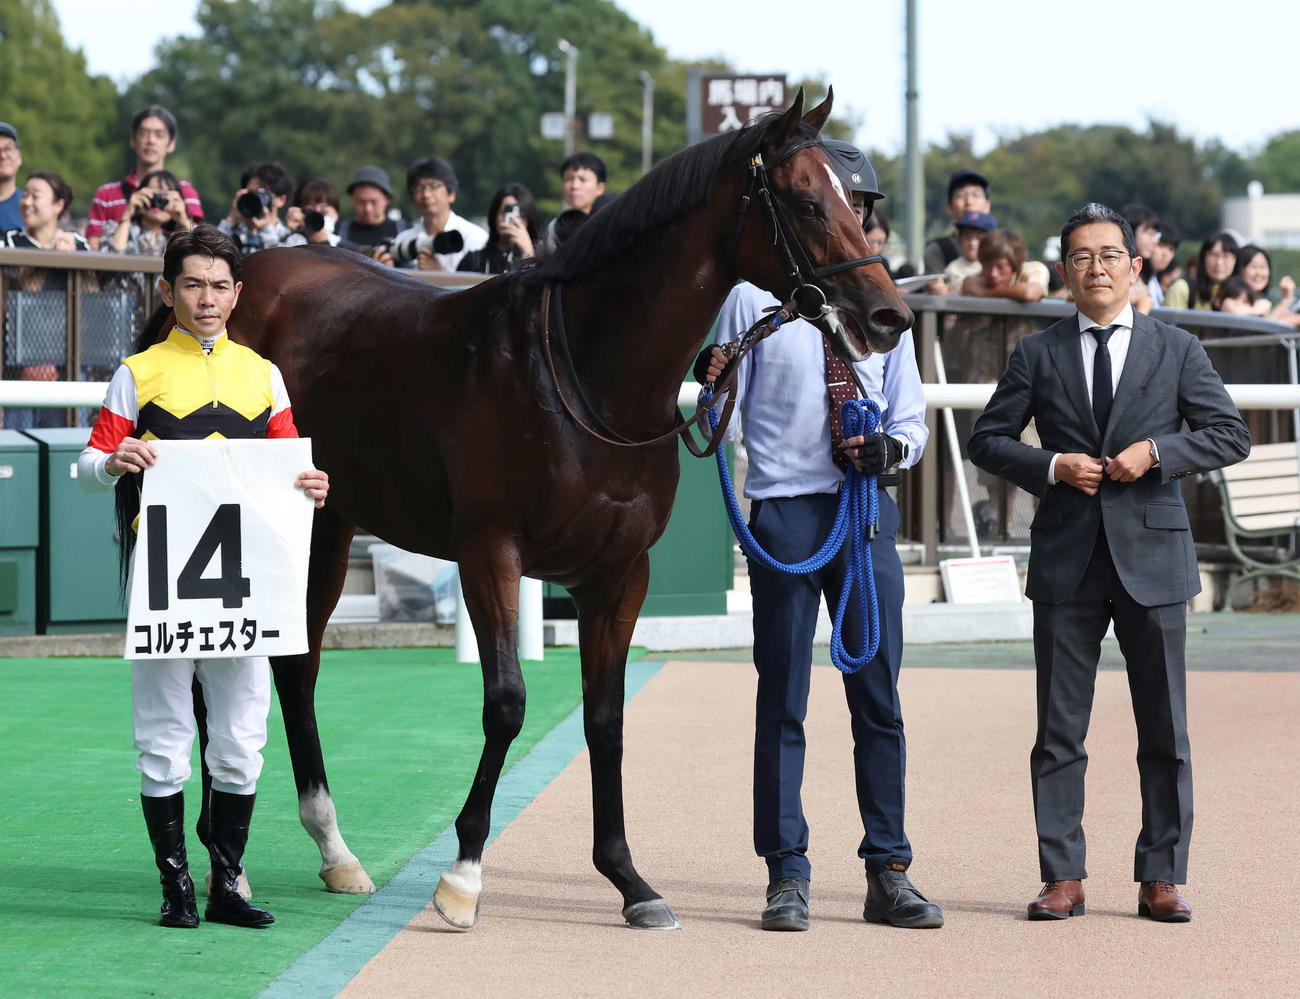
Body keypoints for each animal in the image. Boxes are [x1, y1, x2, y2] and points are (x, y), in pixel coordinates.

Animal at [195, 89, 912, 929]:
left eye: (855, 204)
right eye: (805, 202)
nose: (890, 316)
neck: (586, 375)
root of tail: (241, 270)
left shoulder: (619, 573)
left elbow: (604, 717)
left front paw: (629, 878)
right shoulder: (491, 551)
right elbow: (506, 703)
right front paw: (464, 874)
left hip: (329, 523)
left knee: (296, 659)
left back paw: (330, 849)